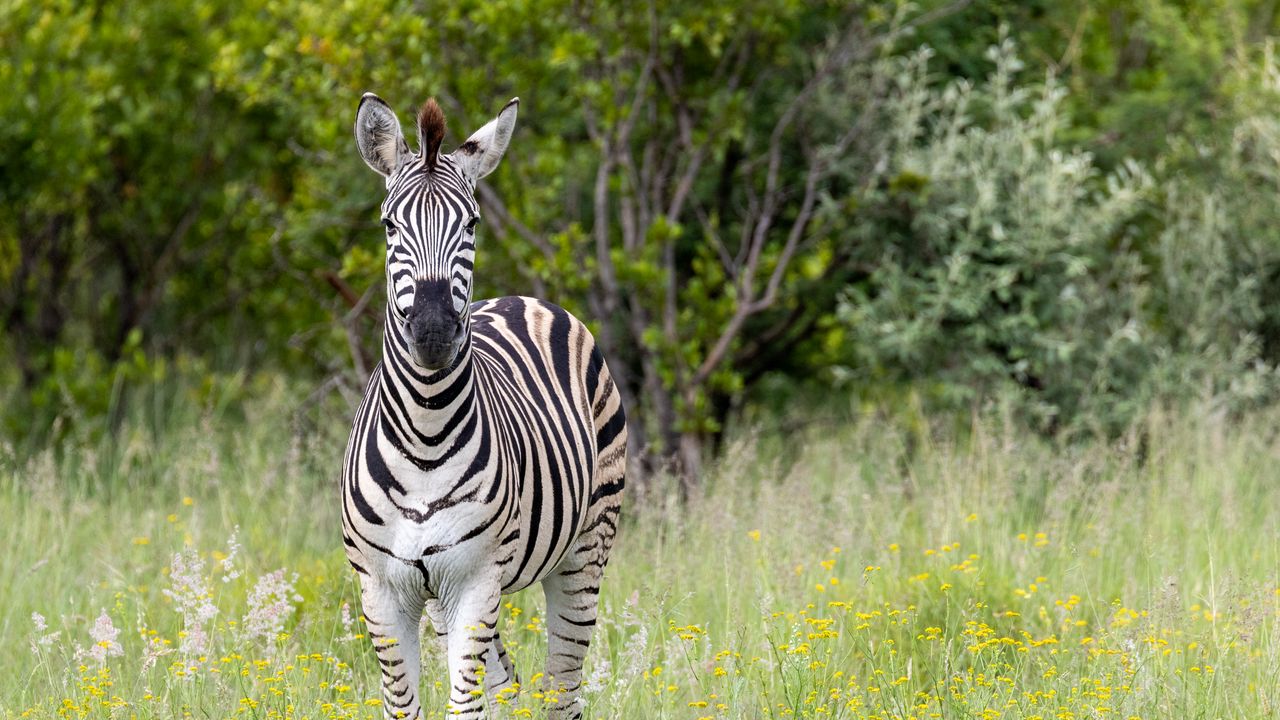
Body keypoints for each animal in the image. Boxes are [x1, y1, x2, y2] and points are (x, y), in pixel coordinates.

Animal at [342, 93, 627, 720]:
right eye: (389, 225)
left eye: (471, 223)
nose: (431, 331)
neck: (423, 435)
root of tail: (525, 298)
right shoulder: (383, 589)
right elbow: (406, 704)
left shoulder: (475, 580)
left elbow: (465, 705)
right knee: (508, 686)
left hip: (584, 550)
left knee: (561, 689)